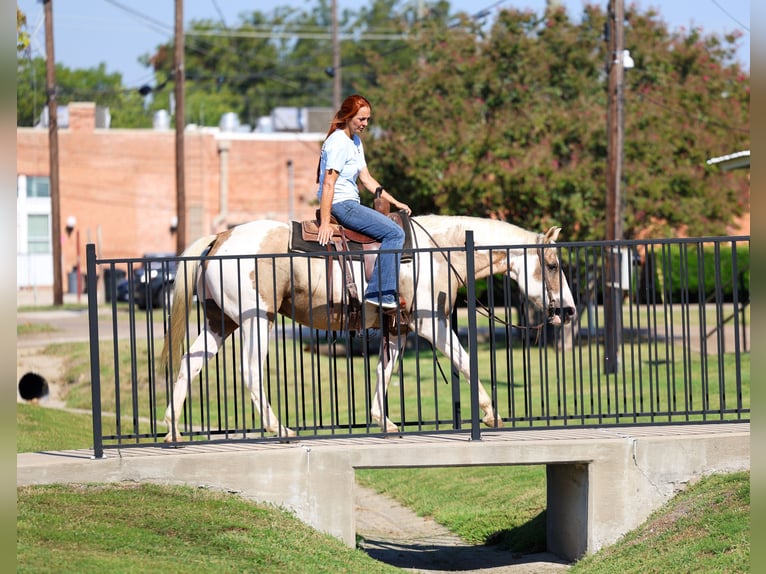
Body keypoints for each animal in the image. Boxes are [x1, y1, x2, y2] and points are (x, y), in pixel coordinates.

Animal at [160, 215, 577, 441]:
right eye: (553, 265)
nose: (570, 311)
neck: (436, 251)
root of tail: (221, 238)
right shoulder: (431, 323)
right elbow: (465, 362)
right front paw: (491, 413)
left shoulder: (398, 329)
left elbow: (383, 372)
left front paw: (384, 420)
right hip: (255, 319)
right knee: (250, 372)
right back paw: (279, 429)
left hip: (220, 321)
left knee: (189, 364)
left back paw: (173, 429)